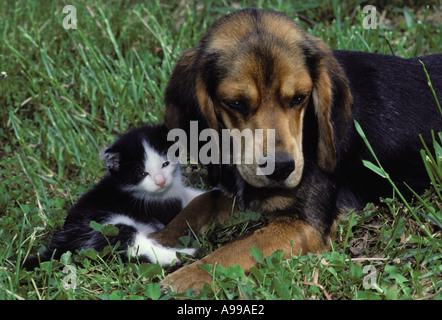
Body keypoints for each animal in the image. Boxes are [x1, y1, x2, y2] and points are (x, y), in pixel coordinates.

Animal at [23, 123, 203, 270]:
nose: (161, 181)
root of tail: (61, 243)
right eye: (142, 173)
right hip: (109, 227)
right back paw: (180, 254)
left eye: (165, 164)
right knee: (135, 249)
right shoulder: (159, 206)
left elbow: (192, 194)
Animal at [150, 8, 440, 292]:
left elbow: (236, 248)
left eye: (299, 97)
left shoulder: (305, 224)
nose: (280, 168)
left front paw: (185, 277)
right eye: (235, 103)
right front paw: (158, 239)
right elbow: (200, 202)